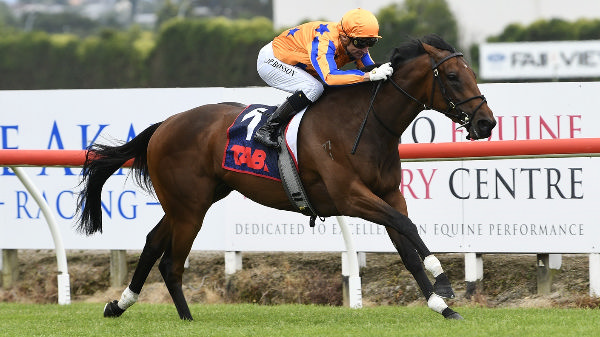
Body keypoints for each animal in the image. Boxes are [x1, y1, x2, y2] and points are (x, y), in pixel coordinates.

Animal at [75, 34, 496, 320]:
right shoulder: (349, 196)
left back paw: (120, 304)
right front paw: (443, 280)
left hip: (191, 202)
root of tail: (165, 125)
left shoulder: (389, 194)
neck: (365, 124)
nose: (486, 123)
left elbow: (406, 244)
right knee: (172, 262)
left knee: (152, 246)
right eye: (454, 76)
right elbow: (406, 227)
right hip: (190, 208)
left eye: (472, 73)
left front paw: (441, 305)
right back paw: (186, 318)